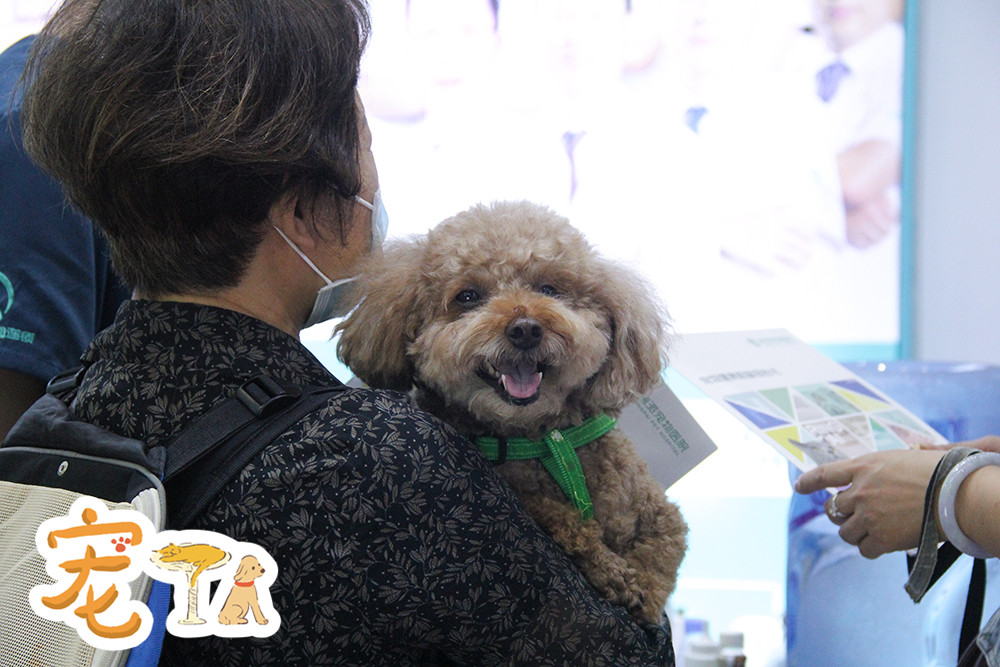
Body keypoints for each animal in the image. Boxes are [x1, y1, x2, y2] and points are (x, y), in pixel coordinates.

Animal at [336, 200, 688, 624]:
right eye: (468, 296)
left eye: (549, 289)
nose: (525, 329)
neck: (544, 441)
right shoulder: (521, 492)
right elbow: (557, 515)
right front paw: (616, 574)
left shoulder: (659, 512)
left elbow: (662, 554)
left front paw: (644, 592)